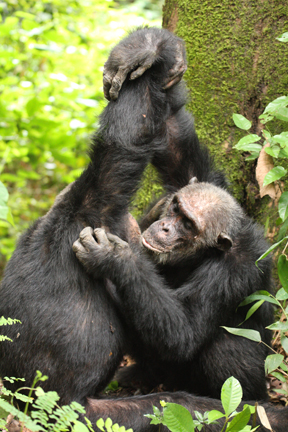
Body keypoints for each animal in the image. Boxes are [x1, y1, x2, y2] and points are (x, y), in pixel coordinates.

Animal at [0, 27, 288, 432]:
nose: (164, 226)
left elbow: (183, 330)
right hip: (91, 418)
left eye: (187, 223)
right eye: (176, 208)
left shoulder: (237, 260)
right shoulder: (104, 198)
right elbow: (138, 138)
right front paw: (148, 52)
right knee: (174, 406)